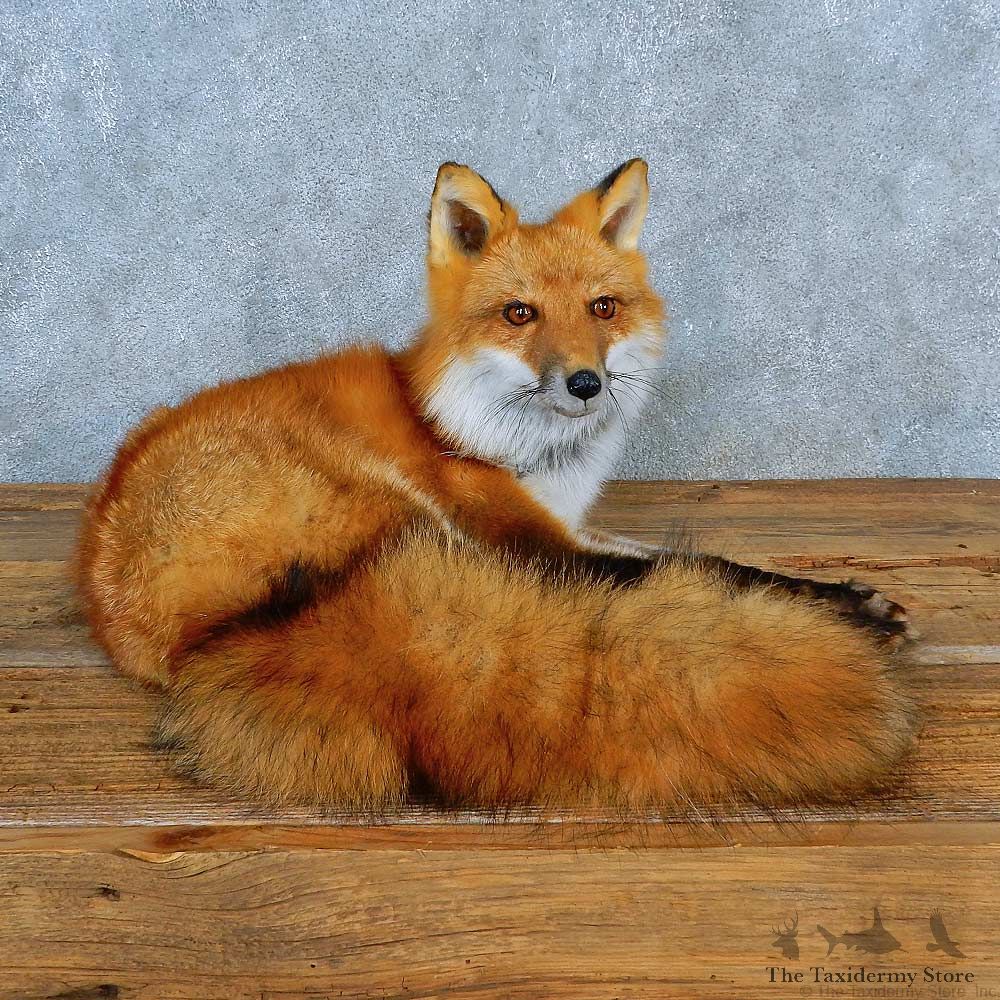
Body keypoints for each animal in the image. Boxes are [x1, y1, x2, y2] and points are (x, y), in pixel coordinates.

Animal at [77, 159, 918, 814]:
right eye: (520, 313)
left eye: (603, 308)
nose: (585, 383)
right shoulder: (525, 533)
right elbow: (701, 563)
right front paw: (845, 605)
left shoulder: (568, 524)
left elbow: (689, 556)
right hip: (407, 509)